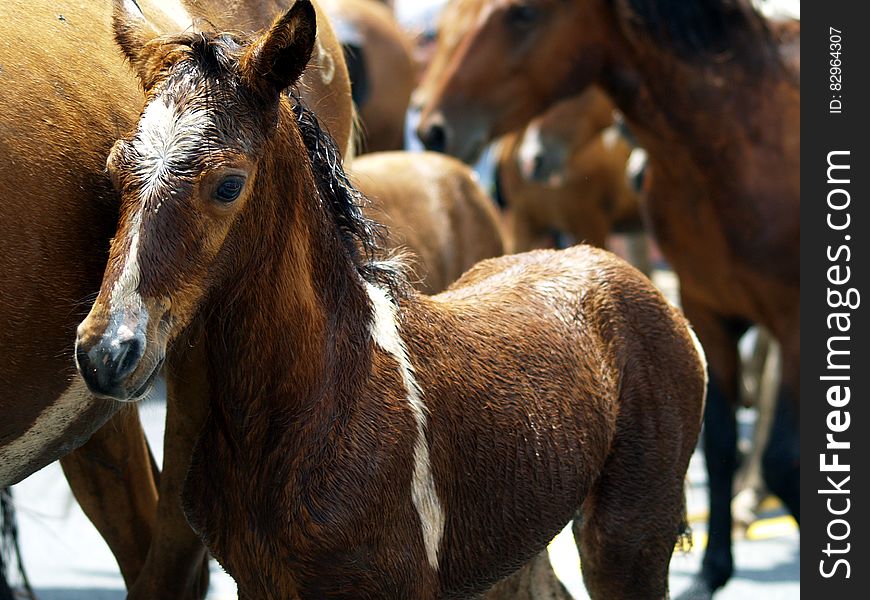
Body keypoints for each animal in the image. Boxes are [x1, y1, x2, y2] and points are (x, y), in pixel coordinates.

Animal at [76, 2, 708, 596]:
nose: (107, 351)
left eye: (228, 184)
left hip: (629, 541)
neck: (328, 393)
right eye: (114, 170)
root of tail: (621, 270)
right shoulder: (258, 582)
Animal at [418, 0, 800, 596]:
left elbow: (786, 456)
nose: (434, 129)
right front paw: (712, 569)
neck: (738, 142)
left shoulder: (793, 315)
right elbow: (717, 446)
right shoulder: (708, 305)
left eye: (522, 14)